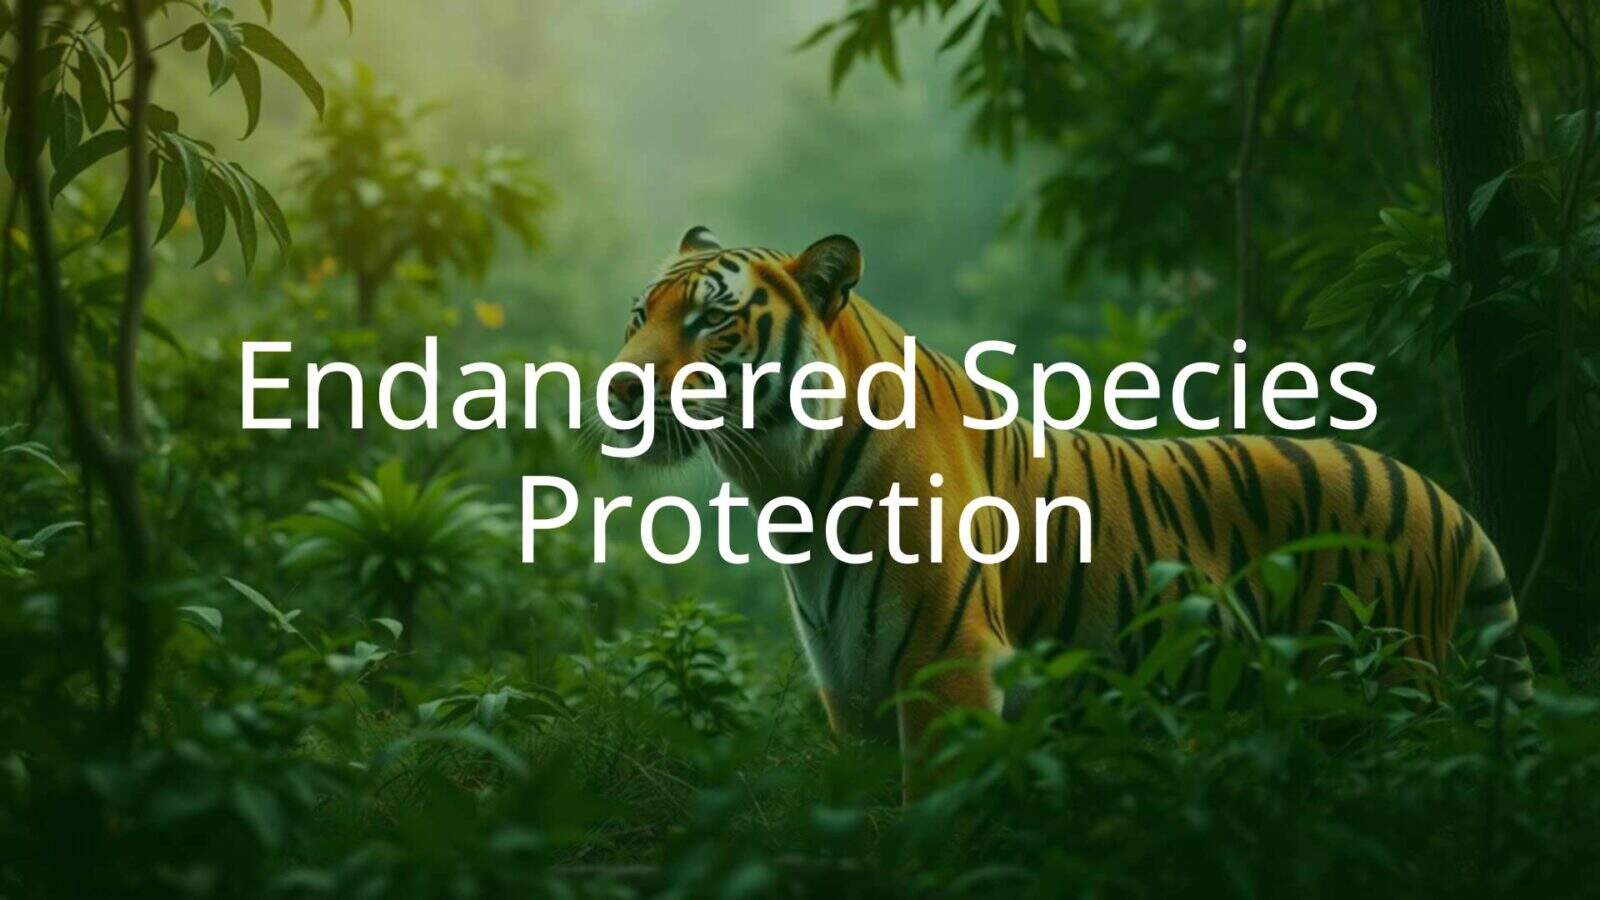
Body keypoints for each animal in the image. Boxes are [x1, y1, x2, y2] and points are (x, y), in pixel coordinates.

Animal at [606, 225, 1534, 792]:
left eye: (713, 321)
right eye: (639, 314)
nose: (618, 387)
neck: (784, 480)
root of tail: (1442, 496)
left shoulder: (949, 666)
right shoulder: (853, 696)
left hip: (1391, 697)